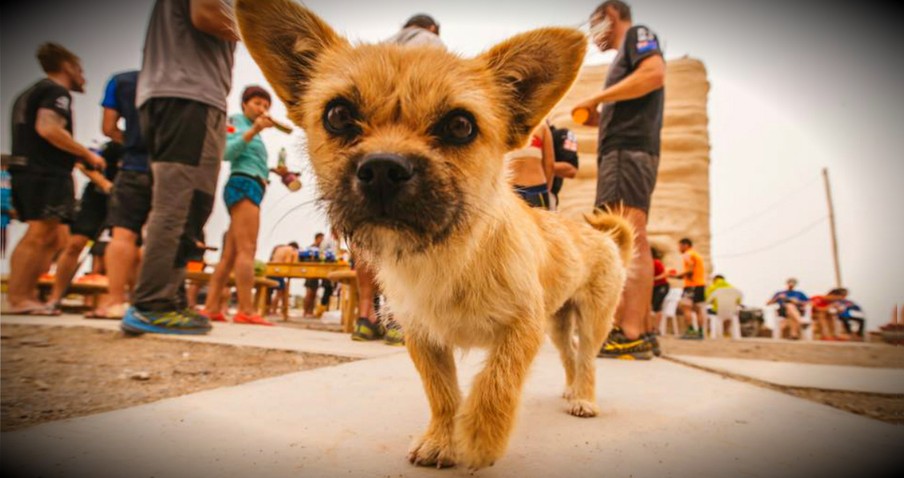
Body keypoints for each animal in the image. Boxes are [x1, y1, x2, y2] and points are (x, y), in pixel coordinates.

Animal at [237, 0, 632, 470]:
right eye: (337, 115)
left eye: (460, 126)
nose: (383, 169)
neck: (446, 252)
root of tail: (607, 240)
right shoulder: (423, 337)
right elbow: (441, 392)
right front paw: (443, 440)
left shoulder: (522, 326)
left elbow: (497, 381)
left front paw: (480, 437)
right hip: (557, 322)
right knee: (570, 357)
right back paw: (572, 391)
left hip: (592, 320)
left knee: (586, 358)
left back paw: (584, 399)